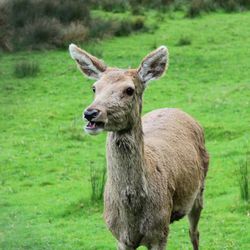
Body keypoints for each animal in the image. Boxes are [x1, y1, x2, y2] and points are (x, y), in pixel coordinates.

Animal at [69, 43, 209, 250]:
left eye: (129, 90)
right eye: (94, 88)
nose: (91, 113)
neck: (132, 213)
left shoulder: (160, 232)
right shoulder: (120, 237)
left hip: (200, 188)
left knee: (194, 233)